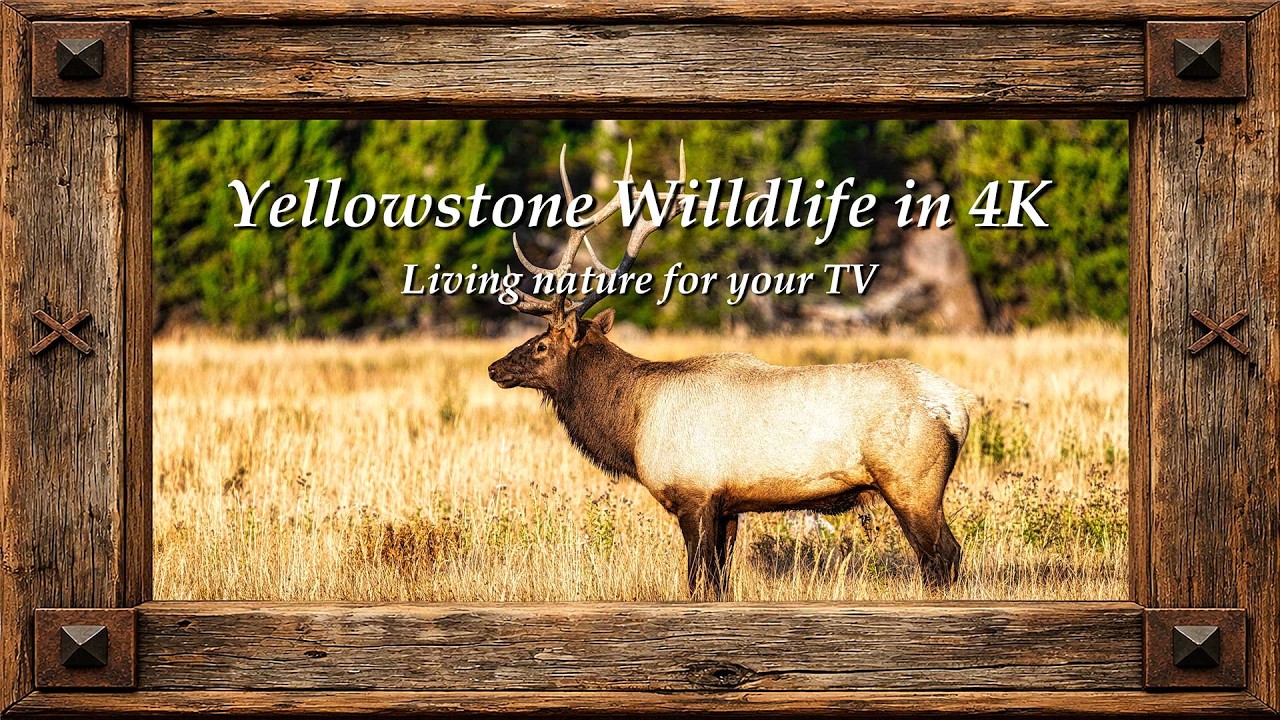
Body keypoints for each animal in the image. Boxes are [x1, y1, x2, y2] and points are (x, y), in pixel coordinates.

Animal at [487, 143, 972, 600]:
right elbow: (719, 581)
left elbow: (698, 579)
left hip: (911, 481)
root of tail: (957, 410)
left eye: (540, 345)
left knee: (943, 555)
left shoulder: (695, 496)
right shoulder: (728, 507)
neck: (632, 425)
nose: (494, 368)